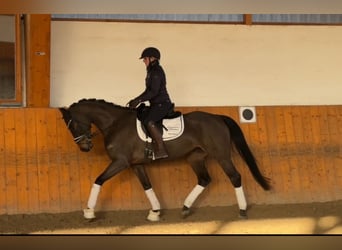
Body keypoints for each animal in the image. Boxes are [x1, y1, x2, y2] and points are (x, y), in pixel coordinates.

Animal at [60, 98, 272, 221]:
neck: (115, 123)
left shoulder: (121, 162)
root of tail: (218, 117)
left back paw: (242, 211)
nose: (84, 147)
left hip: (221, 155)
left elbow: (98, 180)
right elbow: (147, 186)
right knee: (204, 179)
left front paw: (89, 211)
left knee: (235, 177)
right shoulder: (136, 165)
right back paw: (185, 208)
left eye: (73, 125)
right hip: (195, 157)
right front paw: (155, 212)